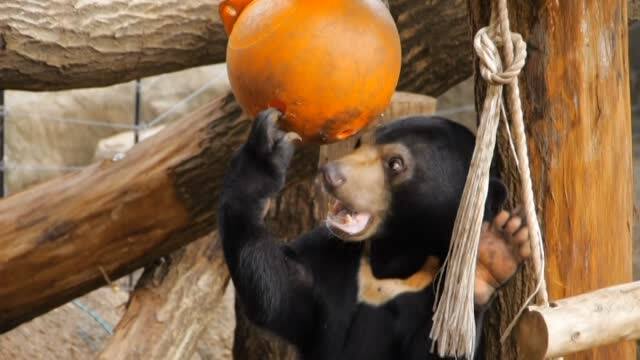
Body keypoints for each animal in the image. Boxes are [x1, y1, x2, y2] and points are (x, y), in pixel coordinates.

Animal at [220, 108, 528, 358]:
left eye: (395, 163)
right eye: (359, 143)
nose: (330, 174)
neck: (393, 256)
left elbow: (443, 343)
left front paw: (494, 253)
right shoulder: (329, 258)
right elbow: (277, 290)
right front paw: (267, 149)